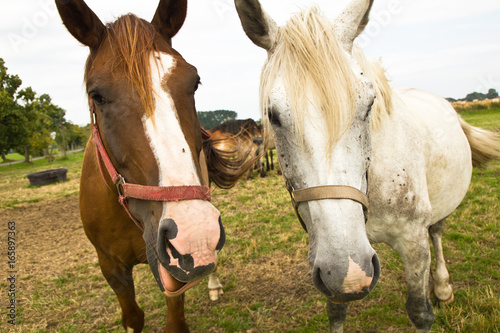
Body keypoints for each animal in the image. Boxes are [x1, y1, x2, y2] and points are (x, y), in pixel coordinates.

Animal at [234, 0, 500, 330]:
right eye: (273, 115)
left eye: (369, 104)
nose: (350, 274)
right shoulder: (325, 259)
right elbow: (336, 312)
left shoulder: (413, 241)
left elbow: (420, 311)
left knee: (436, 231)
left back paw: (442, 287)